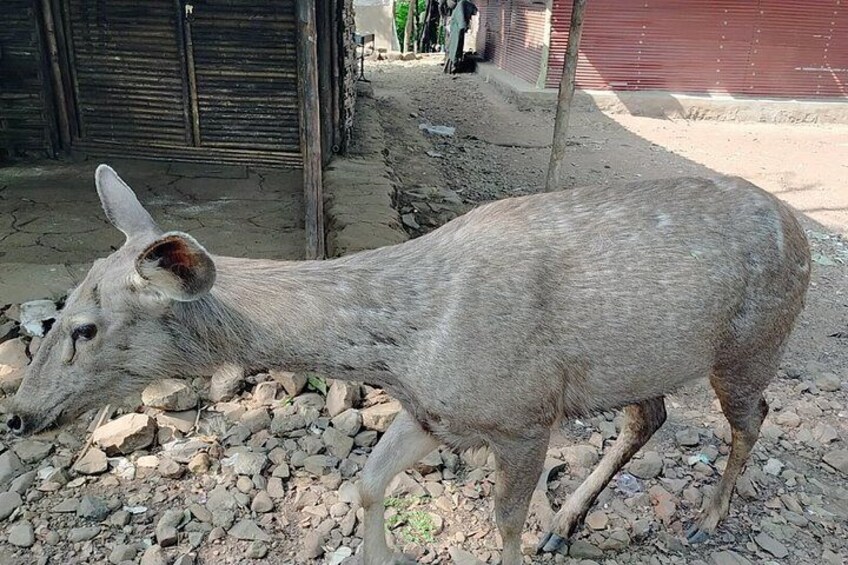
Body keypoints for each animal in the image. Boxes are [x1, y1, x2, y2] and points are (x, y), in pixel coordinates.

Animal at [8, 165, 816, 564]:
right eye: (58, 311)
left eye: (84, 326)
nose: (19, 413)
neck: (404, 345)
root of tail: (802, 230)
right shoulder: (435, 411)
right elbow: (367, 481)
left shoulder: (524, 414)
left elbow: (504, 523)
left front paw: (523, 537)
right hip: (641, 363)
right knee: (649, 414)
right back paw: (569, 522)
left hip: (755, 340)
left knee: (752, 416)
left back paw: (707, 519)